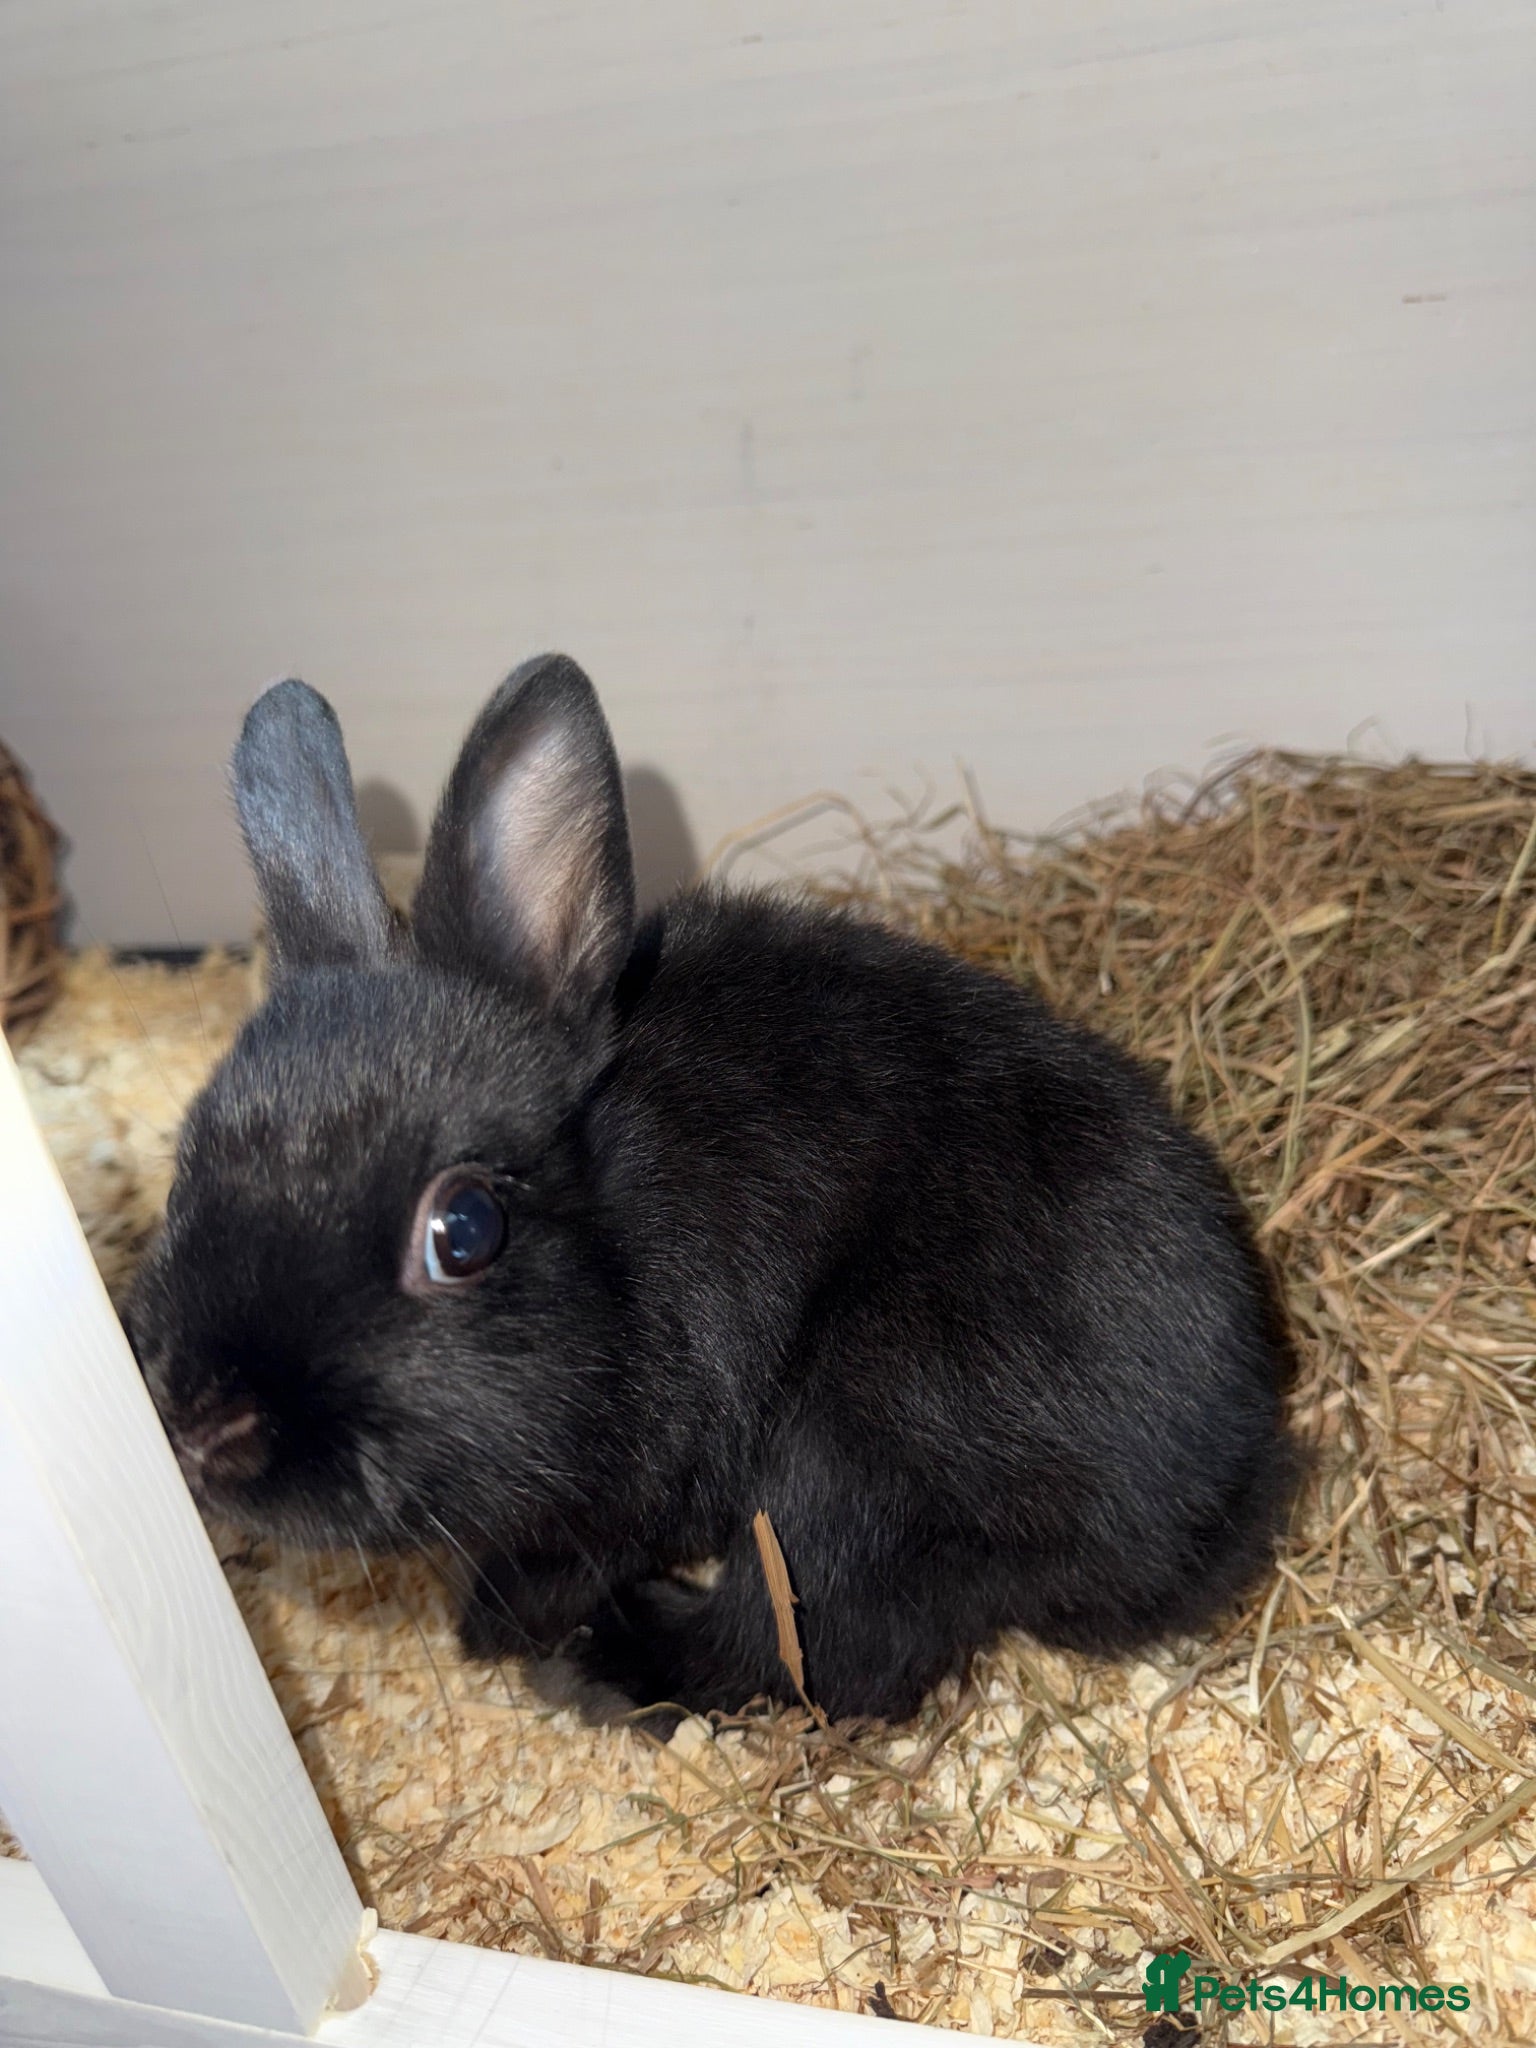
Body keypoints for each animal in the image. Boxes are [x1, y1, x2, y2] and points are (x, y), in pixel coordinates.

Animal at [128, 654, 1298, 1727]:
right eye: (189, 1159)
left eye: (462, 1229)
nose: (203, 1426)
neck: (621, 1245)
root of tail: (1224, 1489)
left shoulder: (638, 1483)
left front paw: (492, 1626)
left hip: (851, 1459)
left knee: (830, 1651)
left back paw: (605, 1664)